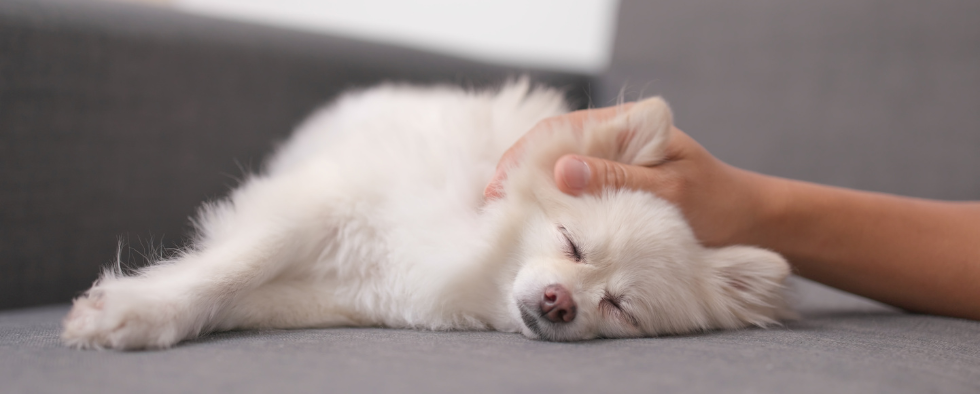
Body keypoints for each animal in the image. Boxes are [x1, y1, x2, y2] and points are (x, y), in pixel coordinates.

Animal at [59, 79, 788, 348]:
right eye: (571, 243)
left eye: (619, 307)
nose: (560, 303)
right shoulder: (318, 204)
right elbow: (234, 265)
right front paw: (138, 309)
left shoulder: (341, 295)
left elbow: (240, 297)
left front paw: (145, 310)